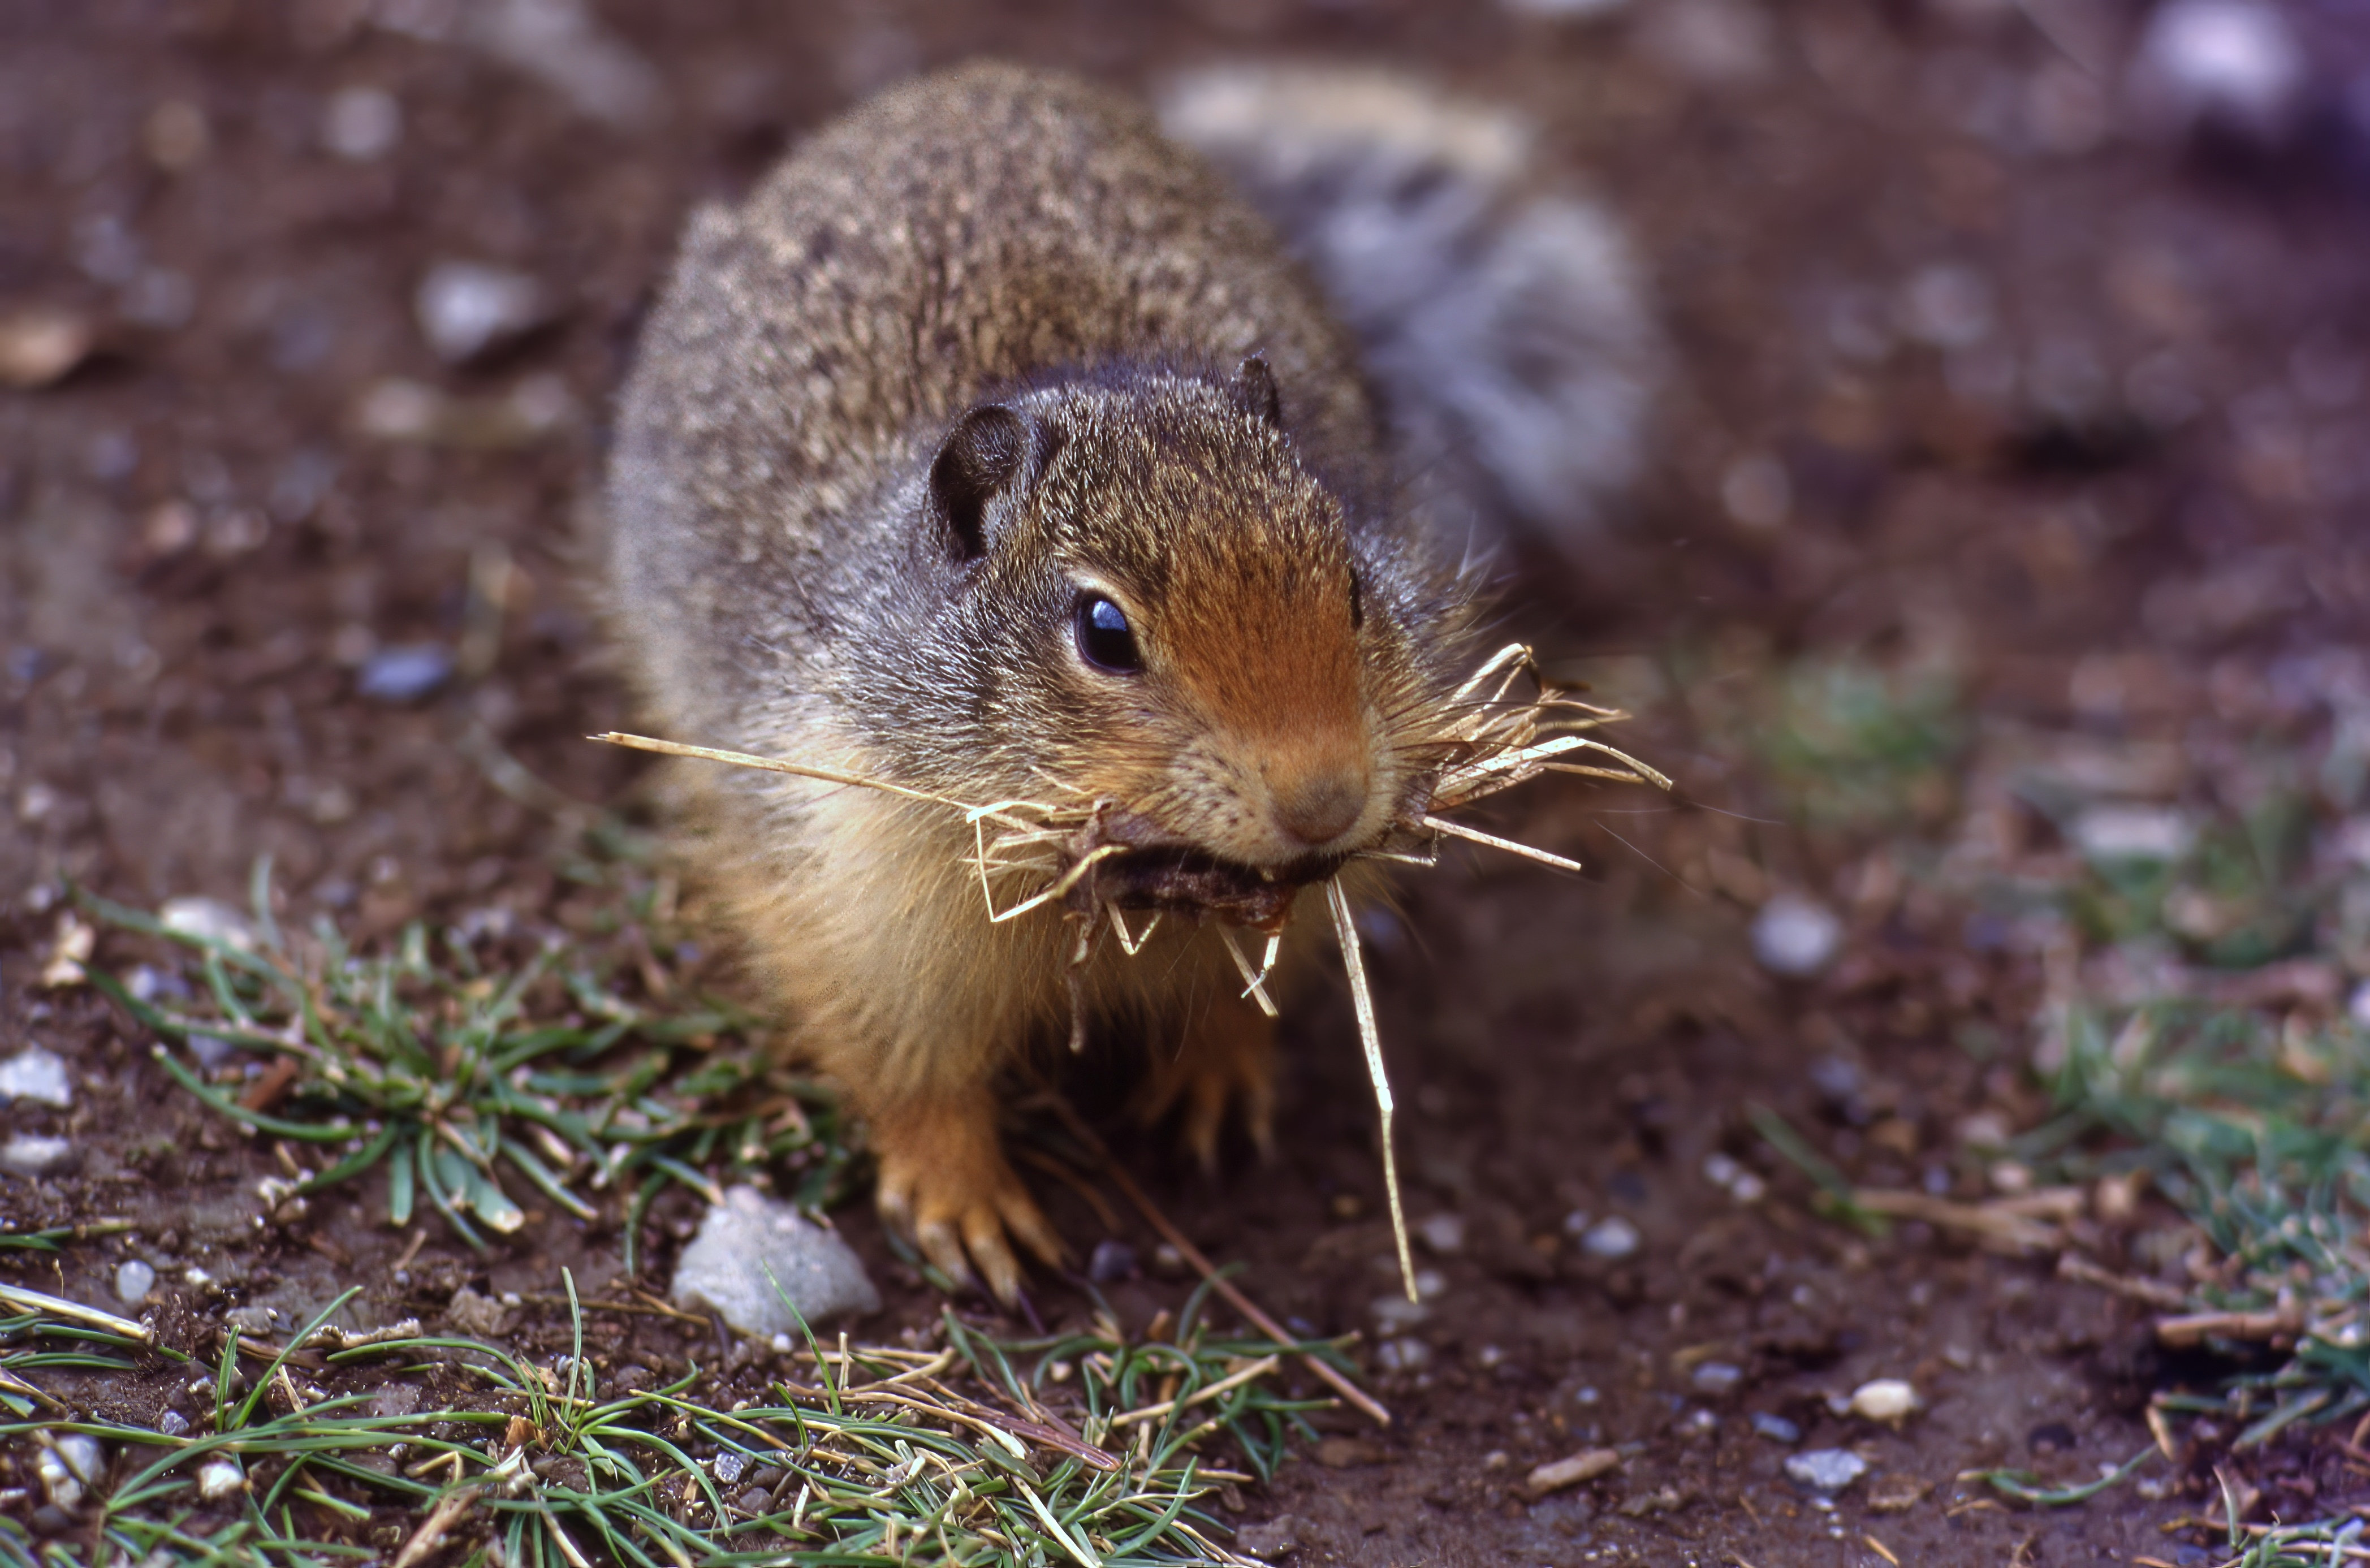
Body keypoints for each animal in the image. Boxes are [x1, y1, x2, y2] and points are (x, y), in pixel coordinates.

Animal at [602, 60, 1654, 1303]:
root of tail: (964, 85)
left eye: (1354, 582)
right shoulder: (839, 891)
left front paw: (1215, 1088)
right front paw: (969, 1207)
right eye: (1103, 631)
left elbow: (1247, 985)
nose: (1325, 803)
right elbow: (905, 1071)